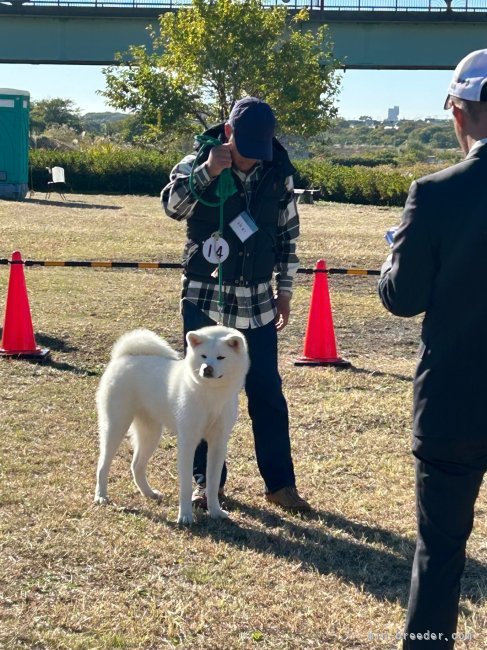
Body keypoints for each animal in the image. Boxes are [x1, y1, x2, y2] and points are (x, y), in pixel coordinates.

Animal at [94, 324, 250, 520]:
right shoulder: (188, 441)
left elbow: (213, 484)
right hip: (116, 425)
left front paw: (215, 511)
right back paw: (101, 496)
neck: (210, 395)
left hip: (151, 434)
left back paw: (149, 493)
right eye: (203, 356)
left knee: (136, 466)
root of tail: (123, 357)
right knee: (103, 464)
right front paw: (185, 516)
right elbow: (185, 485)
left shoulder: (218, 443)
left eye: (221, 357)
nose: (207, 369)